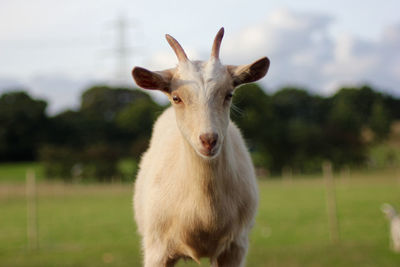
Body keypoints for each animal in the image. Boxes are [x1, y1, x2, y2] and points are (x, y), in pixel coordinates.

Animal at [133, 28, 270, 266]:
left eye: (229, 94)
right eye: (176, 97)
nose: (208, 140)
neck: (204, 218)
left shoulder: (235, 247)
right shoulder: (156, 248)